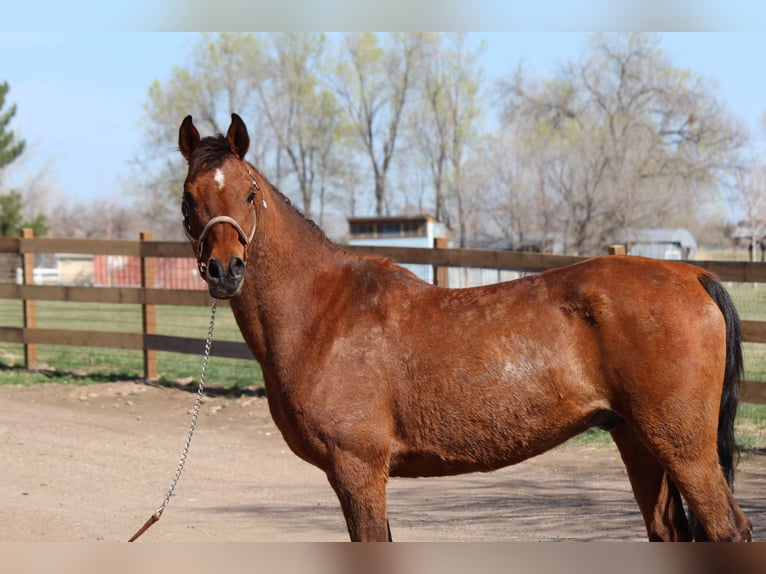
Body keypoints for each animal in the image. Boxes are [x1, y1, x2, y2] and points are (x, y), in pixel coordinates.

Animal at [177, 113, 752, 542]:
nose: (226, 270)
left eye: (249, 194)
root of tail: (691, 274)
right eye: (188, 198)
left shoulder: (358, 468)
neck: (322, 312)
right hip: (639, 441)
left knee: (729, 528)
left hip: (684, 449)